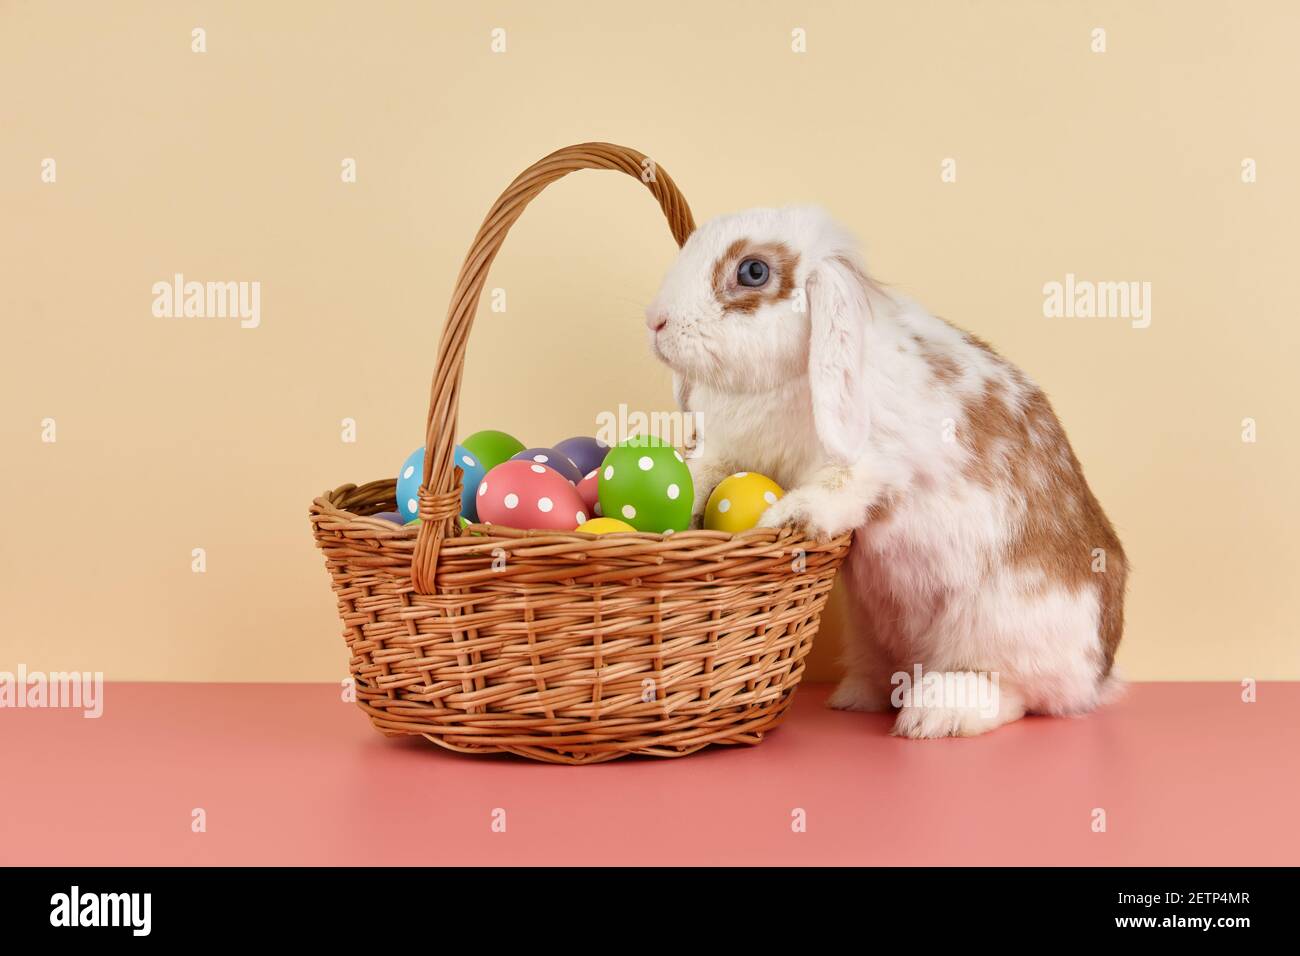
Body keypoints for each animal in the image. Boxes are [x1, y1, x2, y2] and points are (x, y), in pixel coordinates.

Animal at [645, 205, 1127, 738]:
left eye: (753, 271)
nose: (656, 322)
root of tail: (1101, 669)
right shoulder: (731, 455)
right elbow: (702, 474)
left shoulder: (871, 464)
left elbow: (838, 487)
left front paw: (786, 519)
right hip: (872, 629)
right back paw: (859, 695)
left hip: (1000, 628)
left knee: (1018, 694)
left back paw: (935, 712)